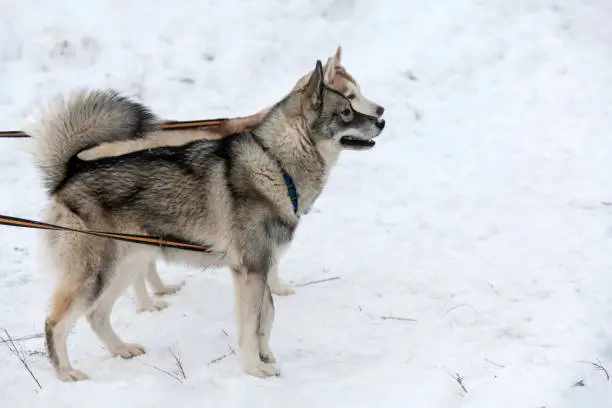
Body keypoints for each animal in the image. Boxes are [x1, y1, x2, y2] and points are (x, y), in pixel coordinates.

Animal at [83, 47, 384, 310]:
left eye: (358, 93)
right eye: (349, 100)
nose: (381, 115)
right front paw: (278, 288)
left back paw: (160, 289)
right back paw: (148, 304)